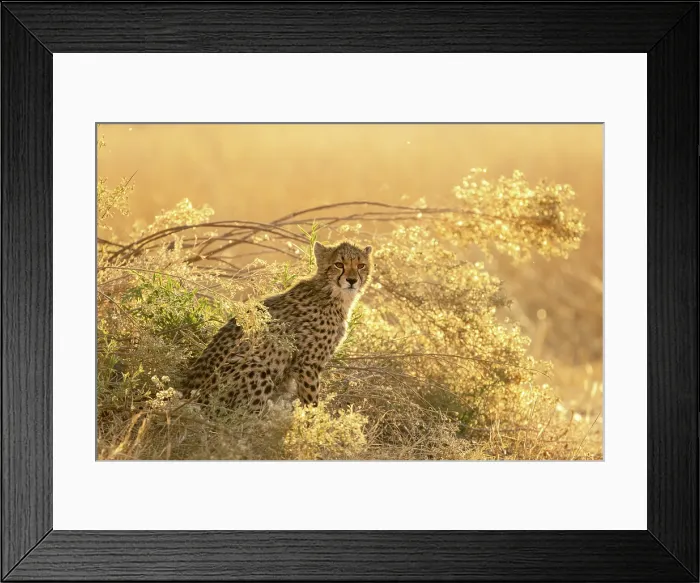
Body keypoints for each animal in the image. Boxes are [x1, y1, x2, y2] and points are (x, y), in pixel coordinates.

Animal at [182, 241, 373, 413]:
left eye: (361, 265)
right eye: (339, 264)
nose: (352, 280)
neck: (332, 293)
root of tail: (189, 393)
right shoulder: (308, 364)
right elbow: (311, 402)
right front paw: (313, 423)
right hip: (255, 369)